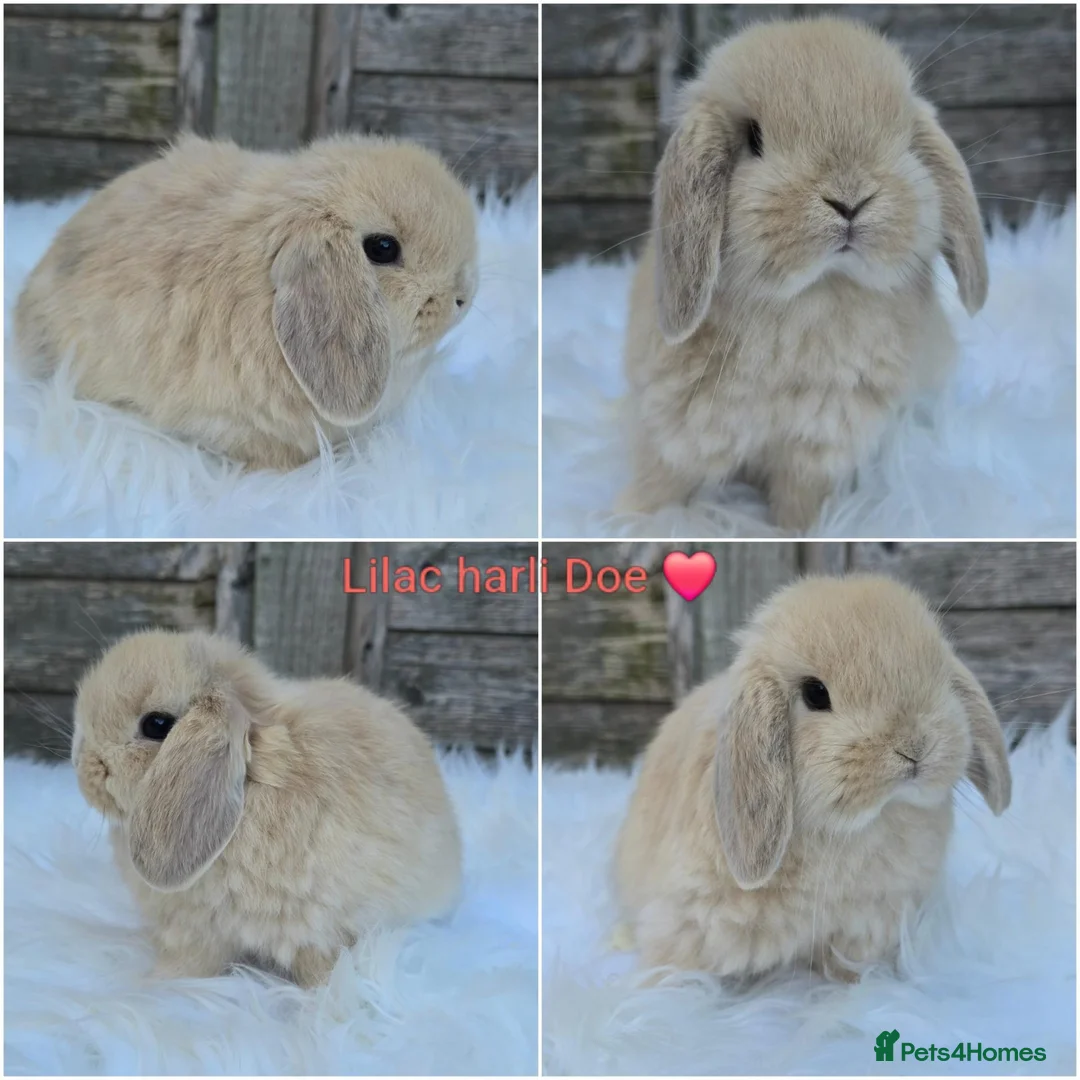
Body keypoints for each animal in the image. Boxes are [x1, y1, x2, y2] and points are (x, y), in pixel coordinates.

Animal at [614, 574, 1011, 983]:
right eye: (815, 694)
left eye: (939, 674)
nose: (914, 747)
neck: (849, 833)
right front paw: (664, 991)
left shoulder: (867, 922)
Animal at [618, 18, 988, 531]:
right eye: (754, 139)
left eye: (903, 141)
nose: (850, 199)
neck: (806, 302)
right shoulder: (677, 429)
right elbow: (659, 483)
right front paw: (626, 522)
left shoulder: (816, 448)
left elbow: (800, 507)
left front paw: (804, 533)